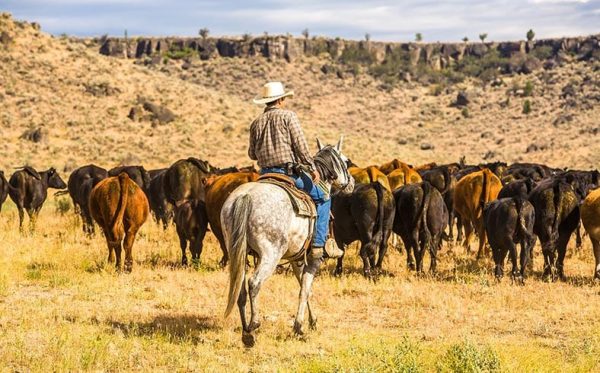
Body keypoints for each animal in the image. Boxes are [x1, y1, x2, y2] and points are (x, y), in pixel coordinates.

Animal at [223, 138, 354, 348]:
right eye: (346, 161)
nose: (352, 183)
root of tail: (246, 196)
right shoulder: (313, 259)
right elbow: (305, 289)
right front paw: (299, 327)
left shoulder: (296, 259)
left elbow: (303, 287)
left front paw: (311, 321)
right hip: (270, 254)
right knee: (254, 283)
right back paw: (253, 325)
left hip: (238, 252)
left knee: (240, 290)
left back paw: (246, 333)